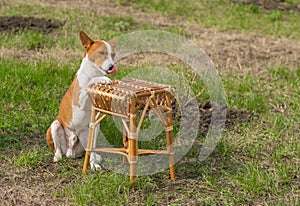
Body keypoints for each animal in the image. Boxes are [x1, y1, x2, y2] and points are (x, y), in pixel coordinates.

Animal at [46, 30, 117, 169]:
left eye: (113, 55)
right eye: (101, 52)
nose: (112, 66)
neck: (93, 72)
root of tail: (70, 152)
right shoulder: (80, 101)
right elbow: (90, 82)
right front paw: (102, 79)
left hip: (91, 132)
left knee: (90, 150)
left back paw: (95, 160)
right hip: (55, 125)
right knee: (57, 149)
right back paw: (57, 156)